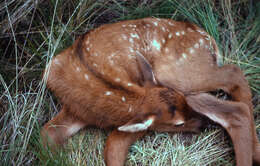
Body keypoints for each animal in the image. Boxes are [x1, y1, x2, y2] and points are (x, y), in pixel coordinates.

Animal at [41, 17, 260, 165]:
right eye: (178, 124)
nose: (203, 124)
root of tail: (208, 39)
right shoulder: (75, 110)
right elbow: (46, 134)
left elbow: (112, 144)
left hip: (175, 74)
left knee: (235, 83)